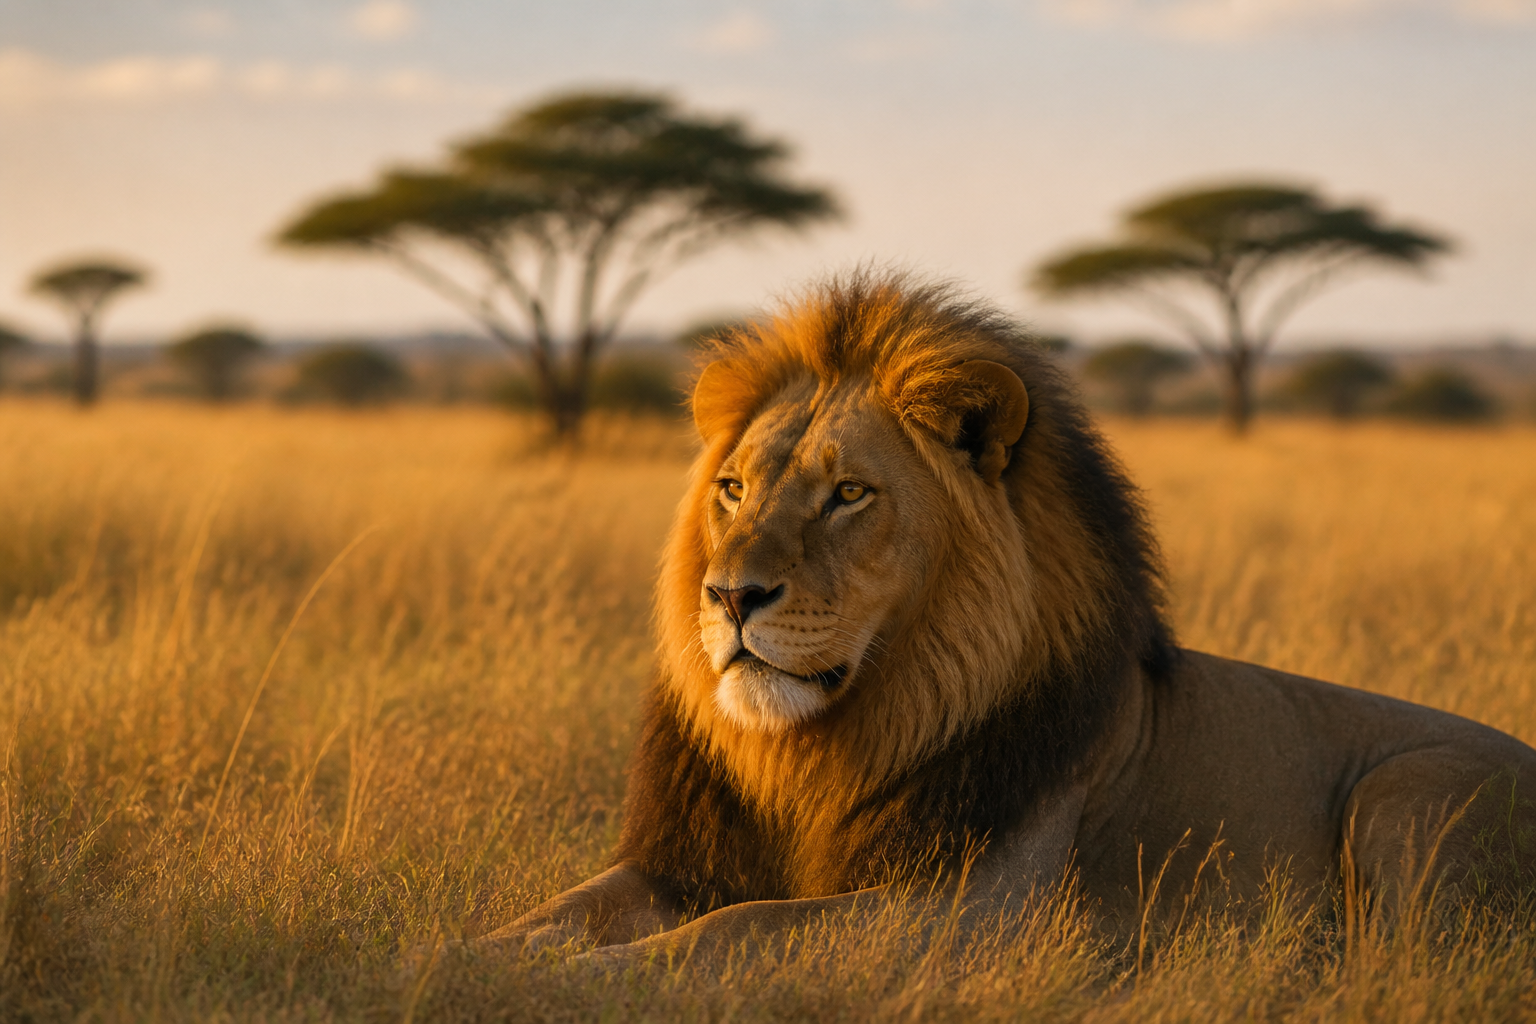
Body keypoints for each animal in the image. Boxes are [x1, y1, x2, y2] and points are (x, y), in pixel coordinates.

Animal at [481, 272, 1536, 964]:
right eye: (733, 489)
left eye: (849, 495)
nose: (731, 596)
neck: (813, 753)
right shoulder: (680, 864)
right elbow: (546, 918)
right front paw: (471, 965)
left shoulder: (964, 909)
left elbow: (725, 934)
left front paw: (590, 981)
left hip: (1410, 799)